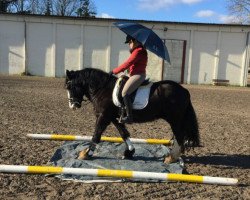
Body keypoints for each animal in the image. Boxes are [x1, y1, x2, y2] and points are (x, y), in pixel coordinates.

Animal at [65, 68, 199, 163]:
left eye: (70, 86)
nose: (72, 106)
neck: (102, 89)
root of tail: (184, 90)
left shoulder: (103, 116)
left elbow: (96, 135)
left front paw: (86, 154)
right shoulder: (114, 118)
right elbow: (124, 134)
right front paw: (130, 152)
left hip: (175, 120)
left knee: (179, 137)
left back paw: (171, 158)